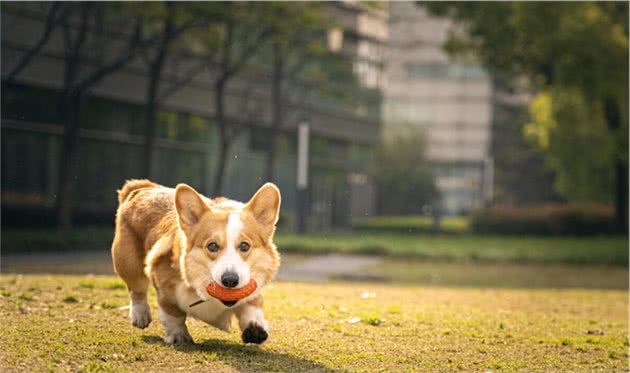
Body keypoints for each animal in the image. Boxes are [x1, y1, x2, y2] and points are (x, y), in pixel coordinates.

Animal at [111, 179, 282, 344]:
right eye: (212, 246)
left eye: (245, 246)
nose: (230, 280)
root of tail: (143, 187)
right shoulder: (164, 288)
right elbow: (173, 315)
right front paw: (179, 336)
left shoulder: (254, 288)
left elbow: (252, 307)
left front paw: (255, 329)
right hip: (128, 263)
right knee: (137, 289)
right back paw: (140, 315)